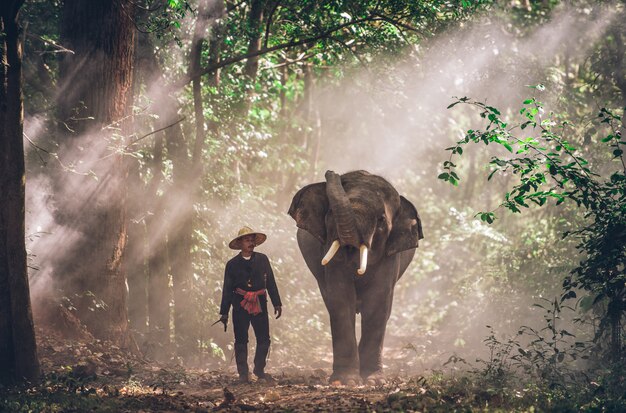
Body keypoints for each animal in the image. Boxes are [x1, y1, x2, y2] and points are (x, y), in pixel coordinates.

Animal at [290, 169, 422, 384]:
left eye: (381, 220)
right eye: (329, 213)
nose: (330, 172)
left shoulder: (390, 256)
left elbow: (377, 300)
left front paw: (374, 380)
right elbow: (341, 298)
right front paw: (346, 380)